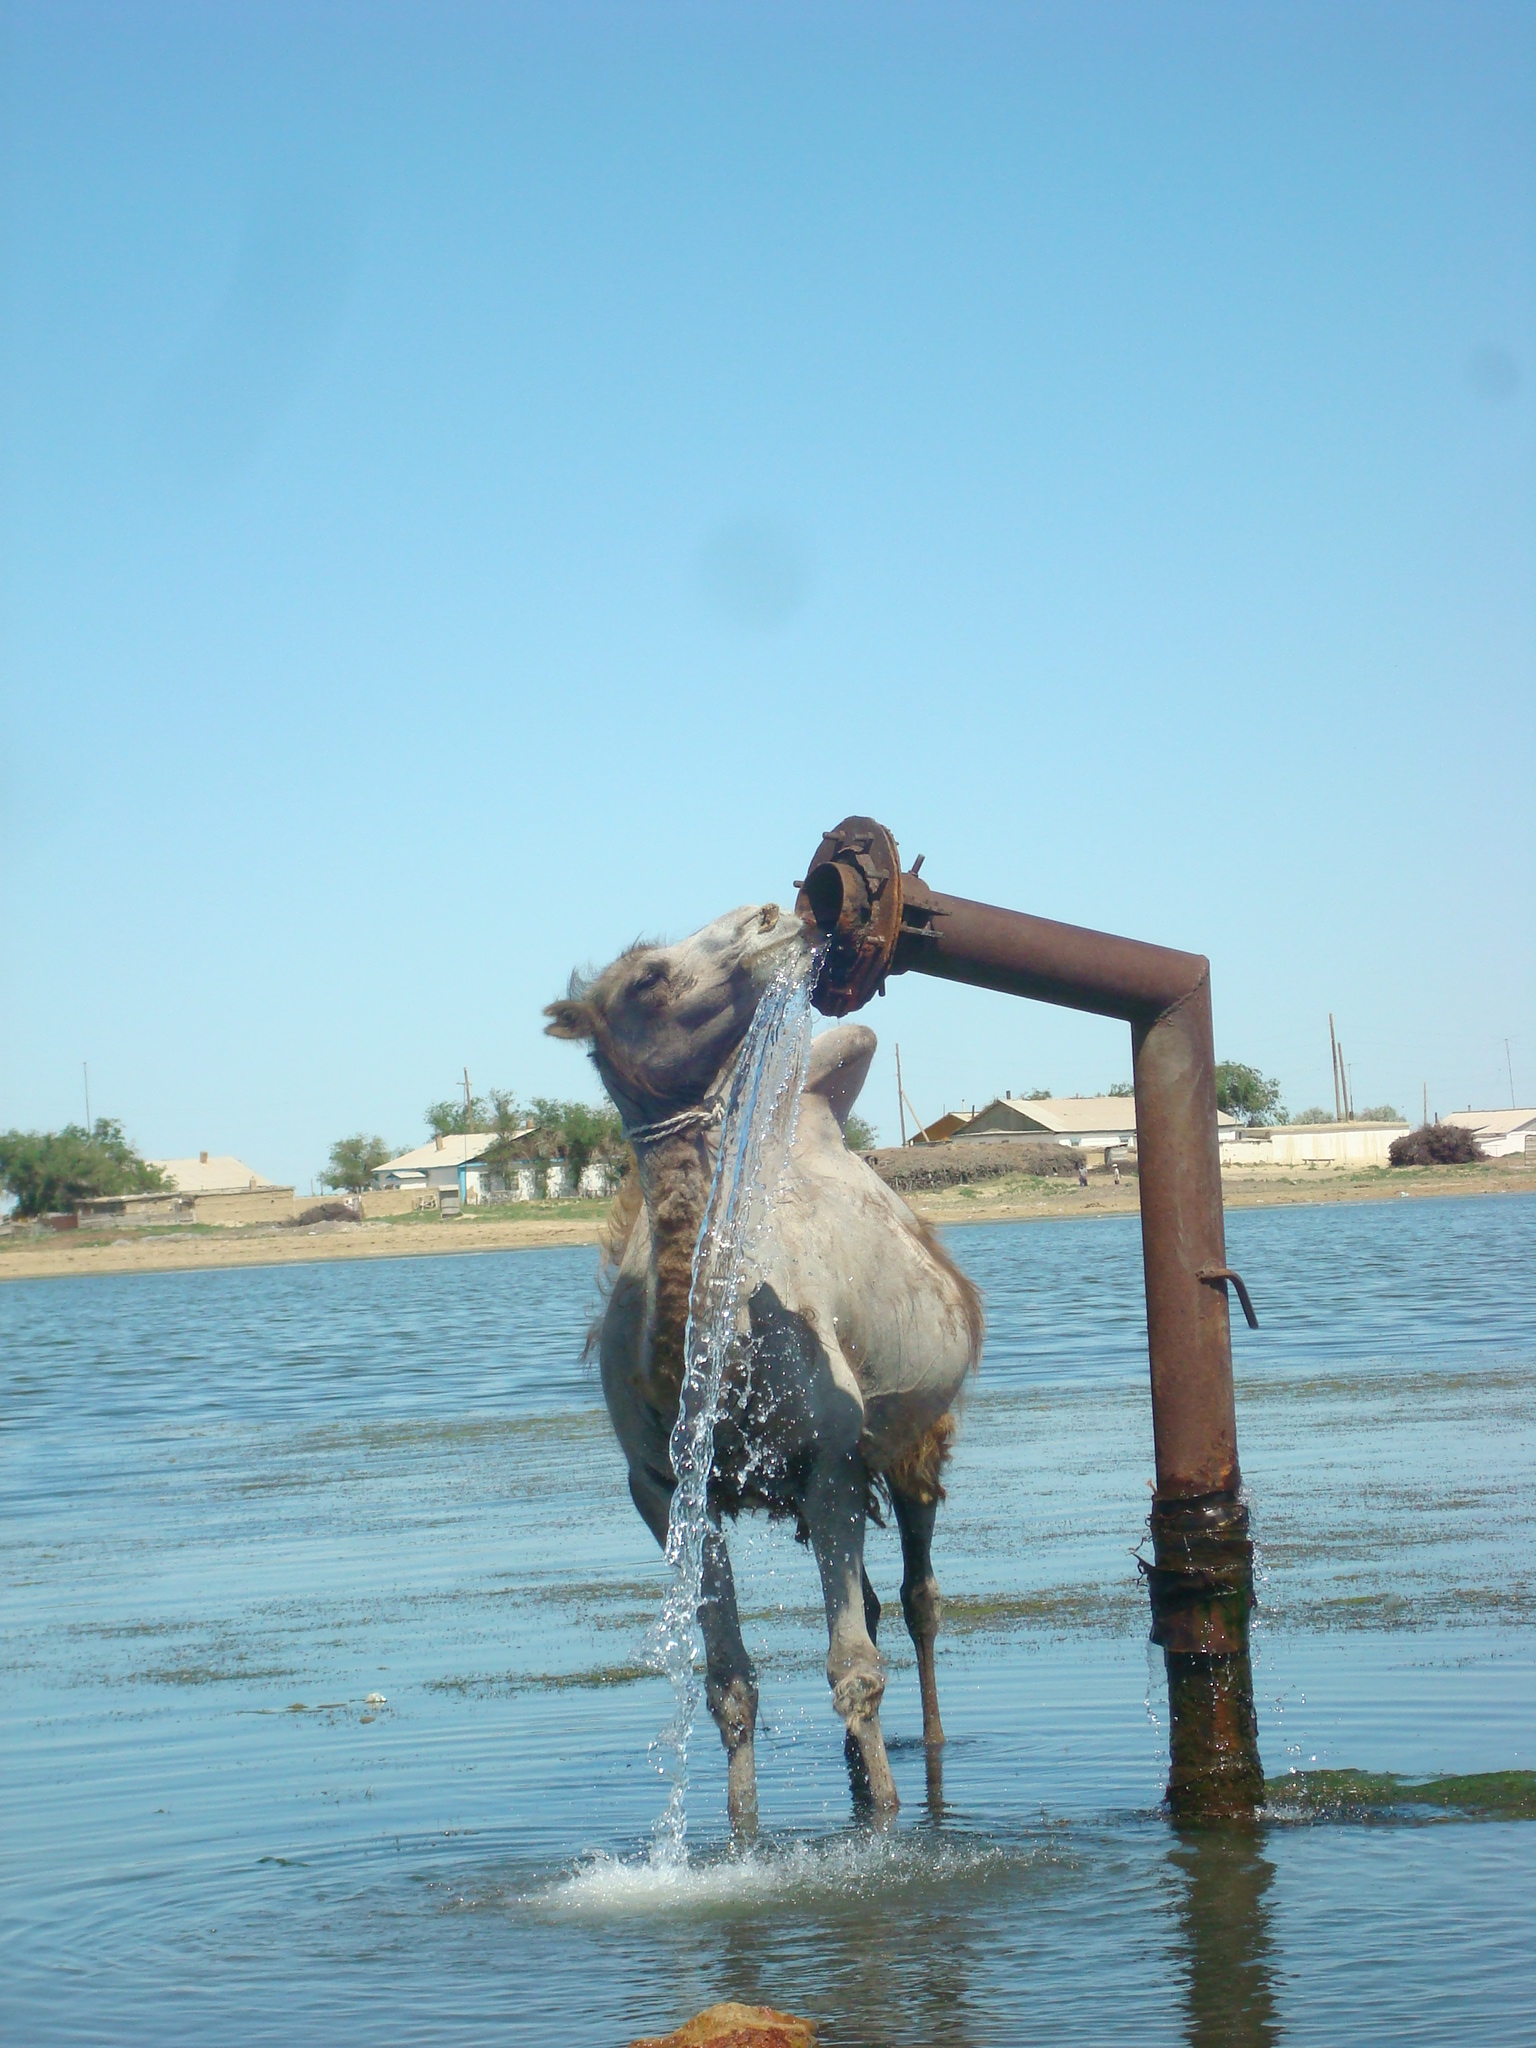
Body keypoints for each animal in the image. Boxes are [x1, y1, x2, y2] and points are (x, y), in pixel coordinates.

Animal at [546, 902, 982, 1822]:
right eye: (647, 979)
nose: (771, 916)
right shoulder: (665, 1489)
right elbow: (729, 1685)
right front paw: (742, 1827)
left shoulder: (830, 1458)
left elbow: (854, 1670)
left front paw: (885, 1818)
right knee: (878, 1602)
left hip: (917, 1435)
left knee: (920, 1597)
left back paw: (924, 1752)